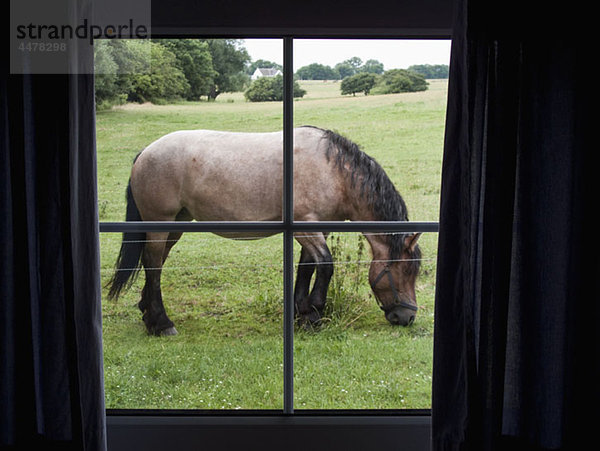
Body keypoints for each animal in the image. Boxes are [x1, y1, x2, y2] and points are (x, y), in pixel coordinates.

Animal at [106, 126, 422, 336]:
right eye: (405, 269)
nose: (407, 317)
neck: (333, 172)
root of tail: (145, 152)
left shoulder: (312, 229)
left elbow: (307, 268)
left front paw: (302, 314)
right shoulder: (306, 227)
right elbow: (325, 265)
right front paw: (314, 314)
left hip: (176, 225)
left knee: (155, 264)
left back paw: (148, 314)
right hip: (160, 223)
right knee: (152, 264)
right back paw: (162, 323)